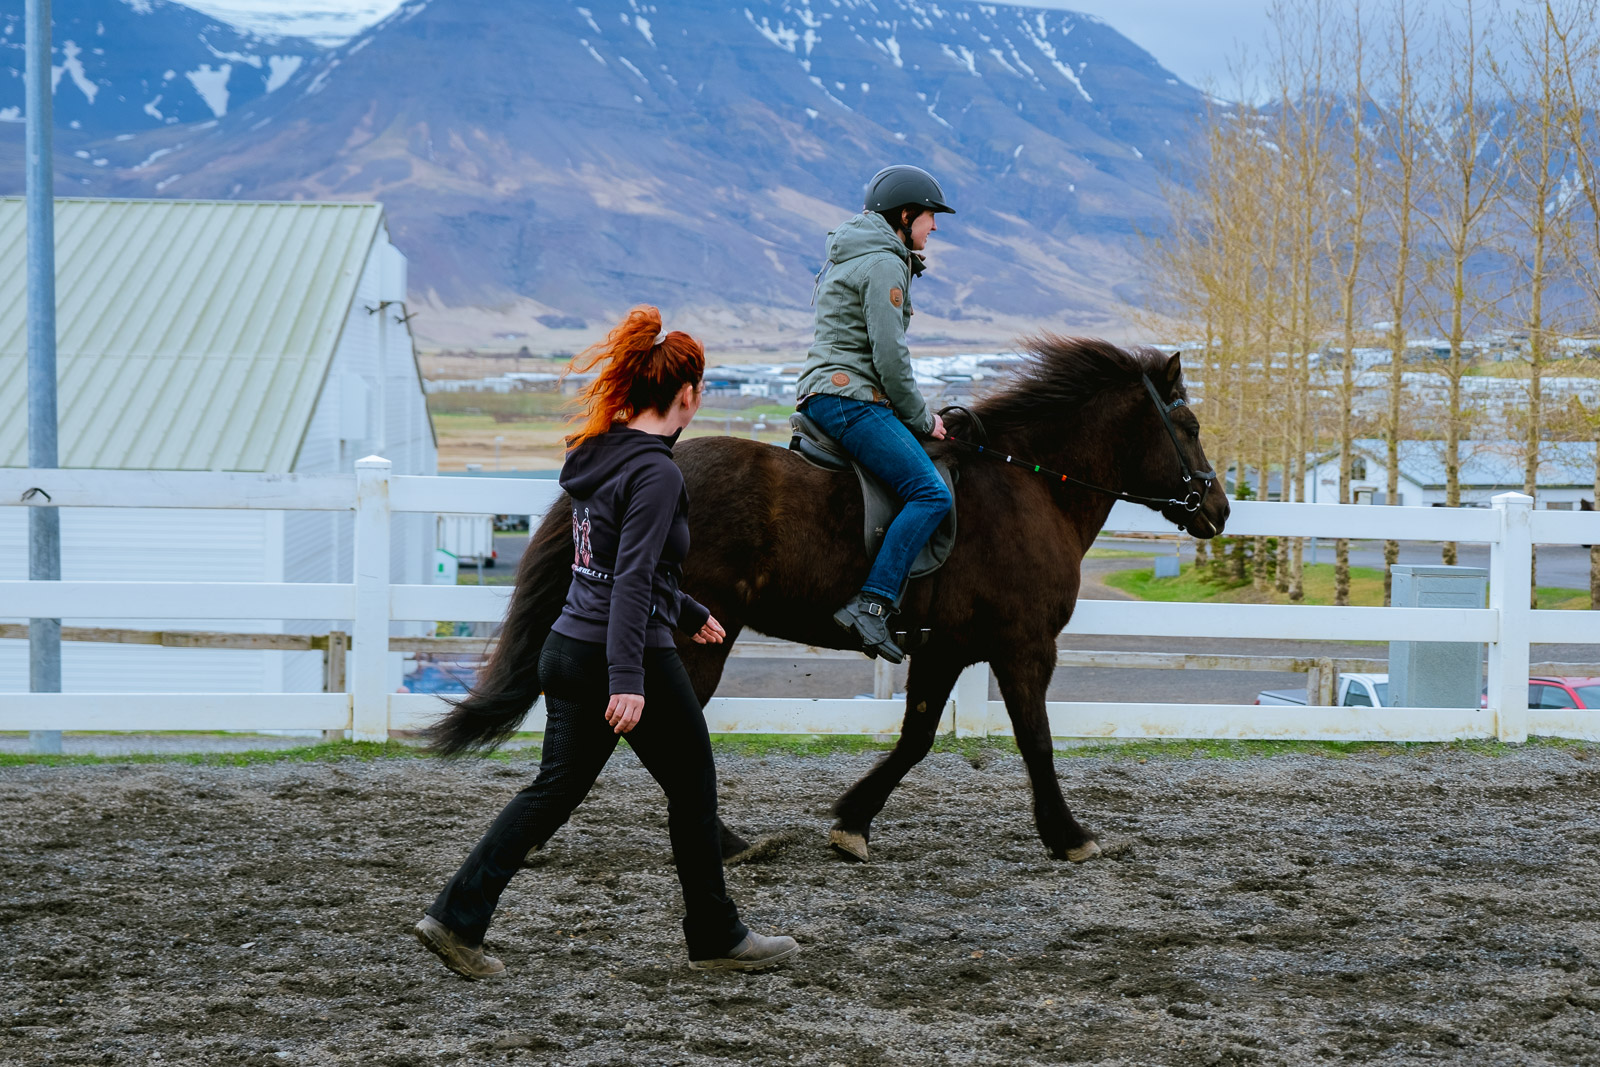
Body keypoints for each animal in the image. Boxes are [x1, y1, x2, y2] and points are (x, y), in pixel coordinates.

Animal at [426, 337, 1230, 864]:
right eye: (1188, 427)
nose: (1219, 509)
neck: (1028, 485)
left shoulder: (945, 647)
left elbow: (916, 737)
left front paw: (852, 821)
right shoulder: (1024, 645)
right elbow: (1035, 739)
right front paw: (1070, 836)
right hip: (695, 638)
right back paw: (723, 842)